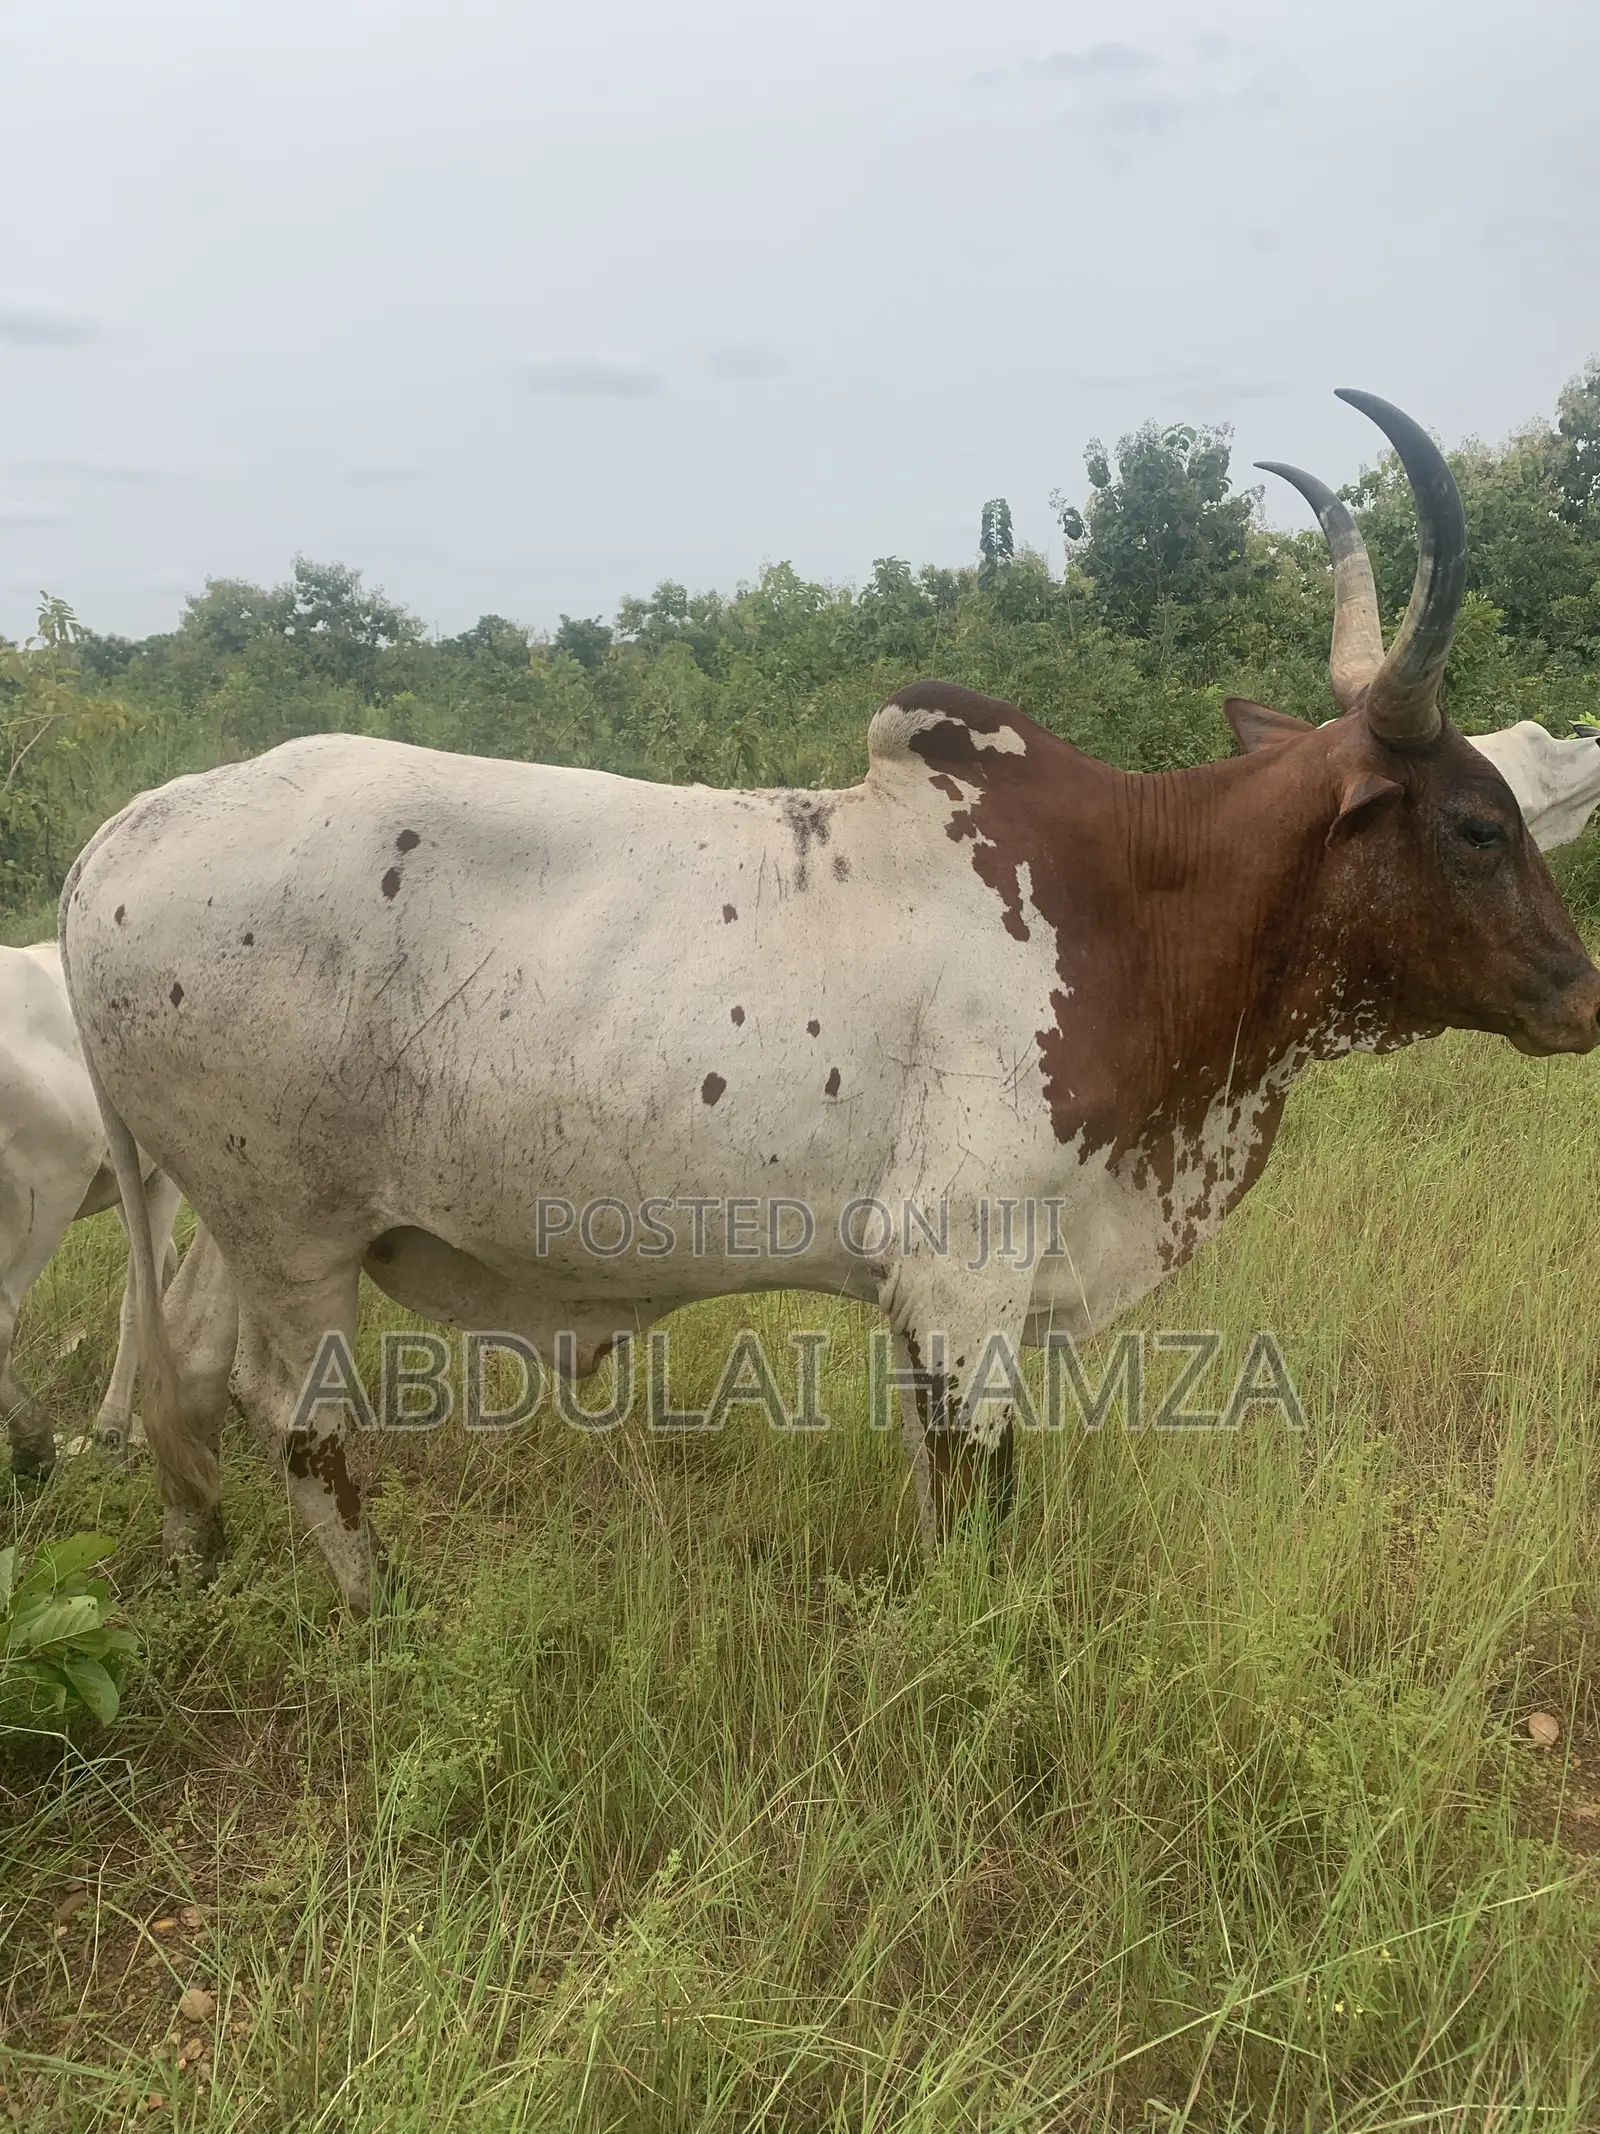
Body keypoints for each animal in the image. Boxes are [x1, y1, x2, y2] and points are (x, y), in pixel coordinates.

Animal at [1, 941, 180, 1478]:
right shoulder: (161, 1176)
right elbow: (140, 1297)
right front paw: (113, 1426)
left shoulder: (128, 1181)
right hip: (43, 1204)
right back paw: (34, 1441)